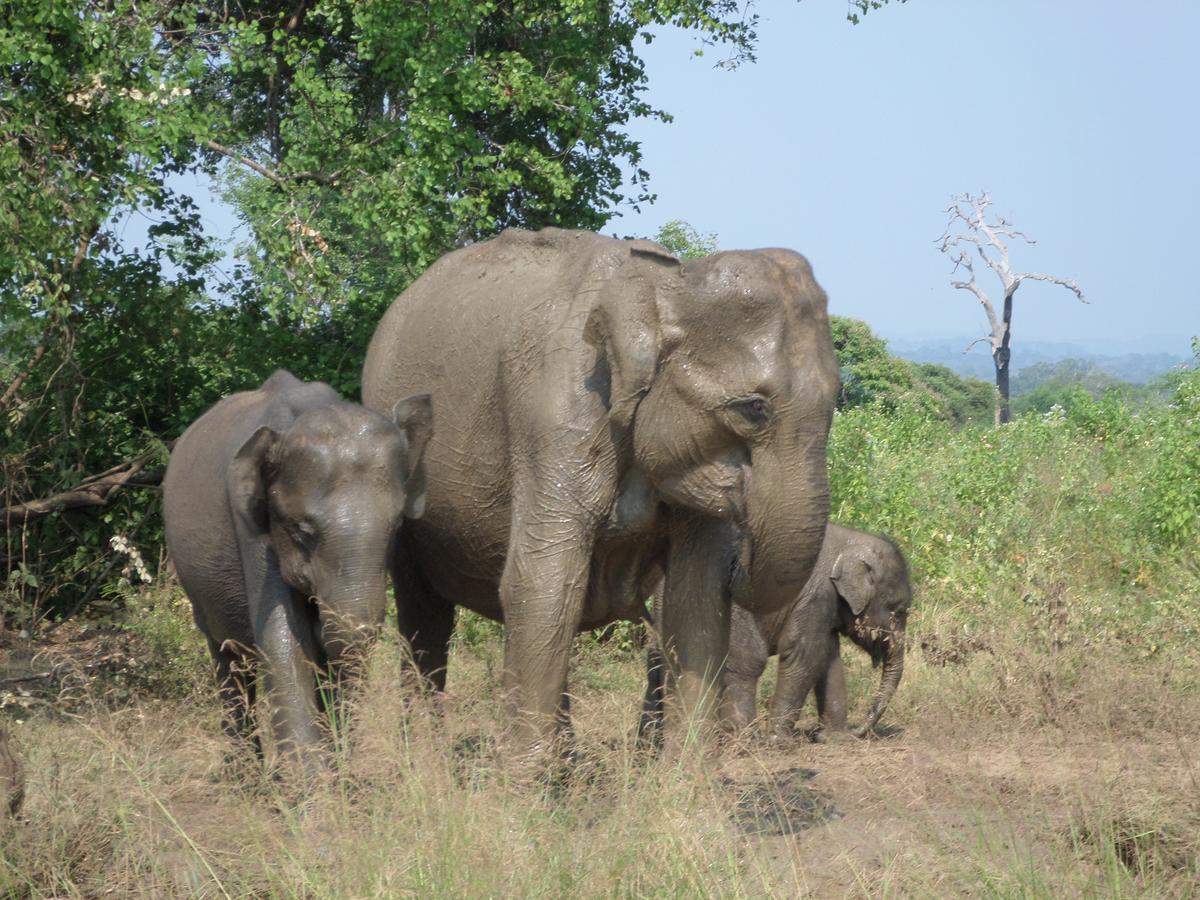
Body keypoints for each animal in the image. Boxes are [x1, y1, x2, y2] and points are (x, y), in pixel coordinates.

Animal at [164, 369, 432, 772]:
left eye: (398, 525)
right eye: (303, 532)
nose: (319, 612)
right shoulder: (252, 523)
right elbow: (283, 638)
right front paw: (313, 783)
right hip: (197, 590)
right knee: (228, 660)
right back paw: (246, 775)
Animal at [360, 225, 840, 763]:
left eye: (837, 401)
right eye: (753, 409)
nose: (746, 543)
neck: (665, 287)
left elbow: (696, 598)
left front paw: (685, 774)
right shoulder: (555, 411)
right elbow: (543, 582)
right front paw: (525, 779)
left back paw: (567, 764)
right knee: (425, 615)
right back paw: (429, 758)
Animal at [720, 525, 907, 744]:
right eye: (899, 611)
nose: (858, 731)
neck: (848, 541)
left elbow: (829, 660)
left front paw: (835, 738)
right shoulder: (816, 596)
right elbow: (804, 654)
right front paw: (779, 742)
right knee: (748, 661)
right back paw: (745, 740)